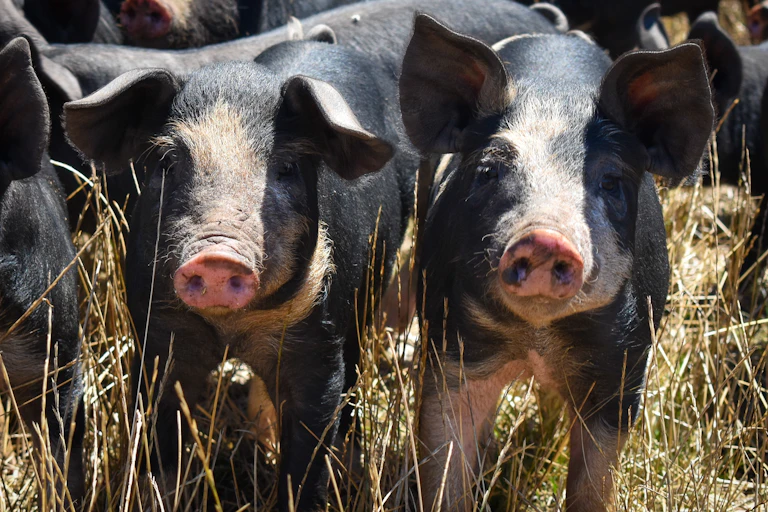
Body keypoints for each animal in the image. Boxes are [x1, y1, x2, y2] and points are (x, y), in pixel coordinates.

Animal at [64, 38, 418, 510]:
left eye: (285, 168)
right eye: (168, 162)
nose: (217, 256)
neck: (232, 330)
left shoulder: (319, 349)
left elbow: (307, 462)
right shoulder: (158, 335)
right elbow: (160, 442)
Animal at [399, 15, 713, 511]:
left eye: (610, 180)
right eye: (488, 171)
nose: (545, 237)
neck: (537, 340)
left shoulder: (622, 373)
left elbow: (592, 483)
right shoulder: (450, 351)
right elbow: (444, 465)